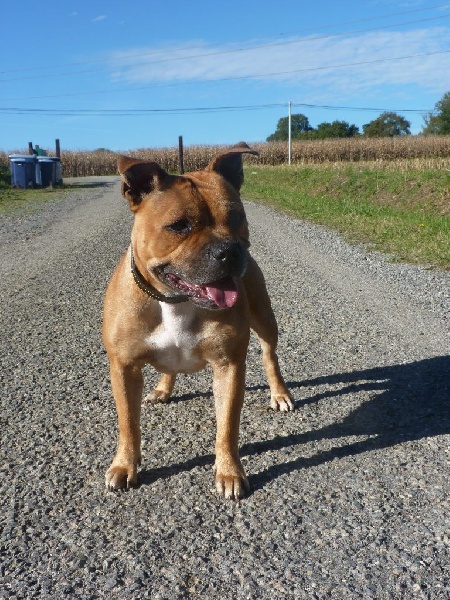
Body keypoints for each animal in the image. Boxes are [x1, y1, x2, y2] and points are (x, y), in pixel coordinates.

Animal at [103, 143, 294, 500]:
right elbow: (128, 423)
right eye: (179, 226)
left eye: (237, 217)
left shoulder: (229, 366)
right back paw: (163, 389)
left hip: (265, 319)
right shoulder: (124, 367)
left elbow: (227, 426)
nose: (229, 250)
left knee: (269, 355)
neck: (175, 301)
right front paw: (124, 465)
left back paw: (280, 394)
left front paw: (229, 472)